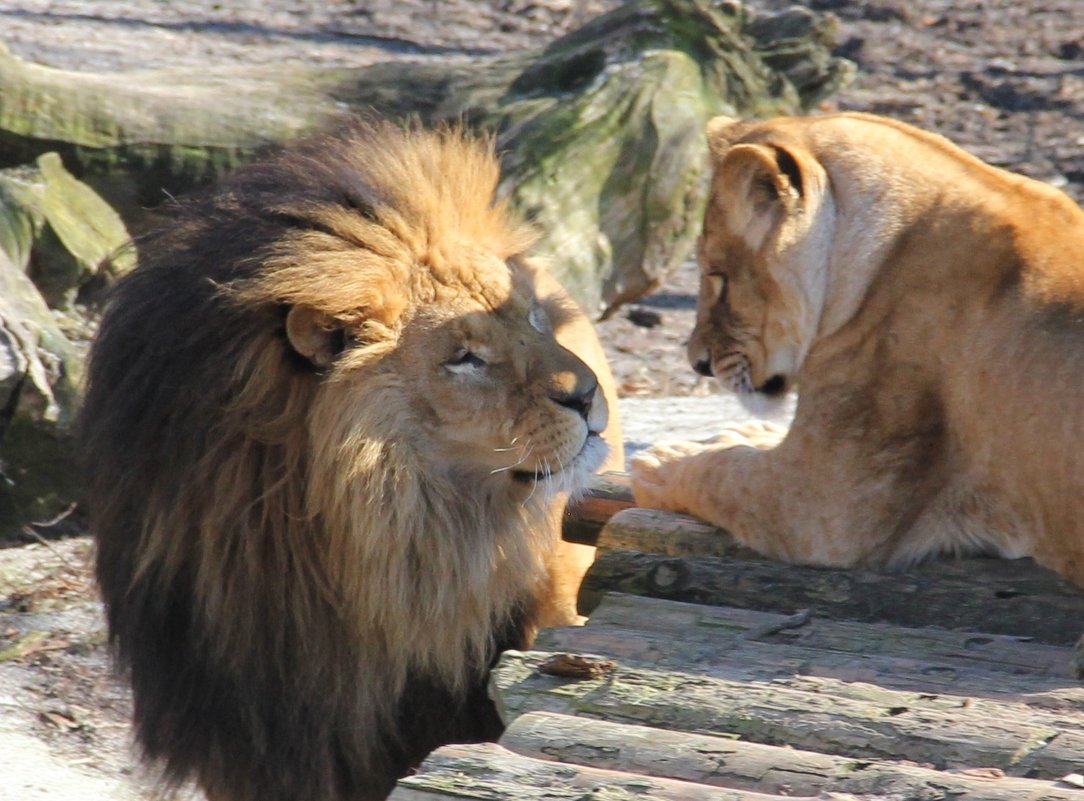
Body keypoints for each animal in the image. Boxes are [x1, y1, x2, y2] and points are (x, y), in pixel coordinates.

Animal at [633, 111, 1084, 580]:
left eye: (718, 276)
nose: (698, 363)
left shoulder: (823, 503)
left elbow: (721, 472)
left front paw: (664, 459)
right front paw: (745, 433)